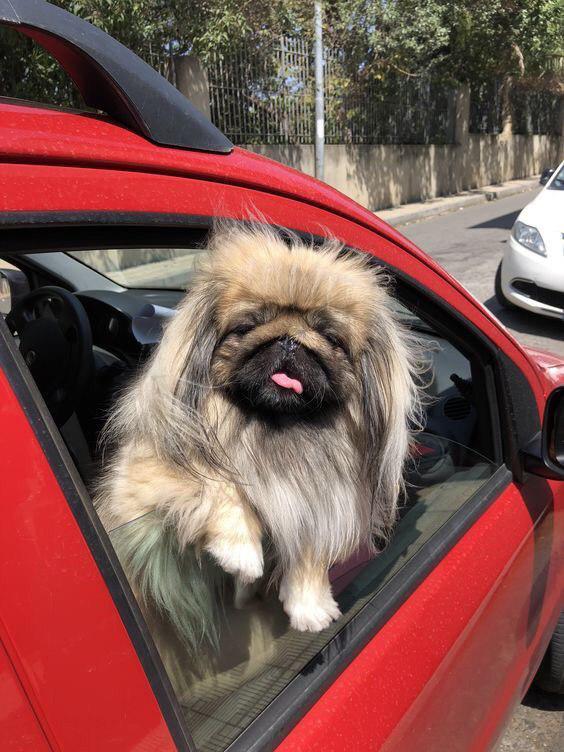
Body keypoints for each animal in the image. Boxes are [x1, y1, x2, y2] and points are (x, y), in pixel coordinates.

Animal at [97, 222, 420, 656]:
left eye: (329, 337)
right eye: (246, 327)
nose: (289, 340)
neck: (273, 427)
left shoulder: (321, 496)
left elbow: (309, 550)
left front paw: (310, 607)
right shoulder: (140, 478)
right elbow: (218, 481)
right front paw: (242, 554)